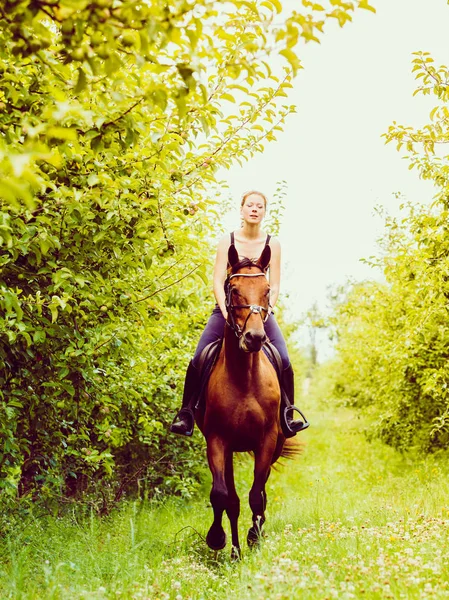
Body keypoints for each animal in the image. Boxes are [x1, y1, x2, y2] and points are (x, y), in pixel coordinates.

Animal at [195, 243, 294, 556]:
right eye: (234, 288)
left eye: (266, 289)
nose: (254, 338)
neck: (244, 378)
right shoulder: (217, 441)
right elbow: (223, 496)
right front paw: (220, 540)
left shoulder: (266, 441)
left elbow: (256, 496)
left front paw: (254, 537)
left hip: (276, 444)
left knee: (260, 492)